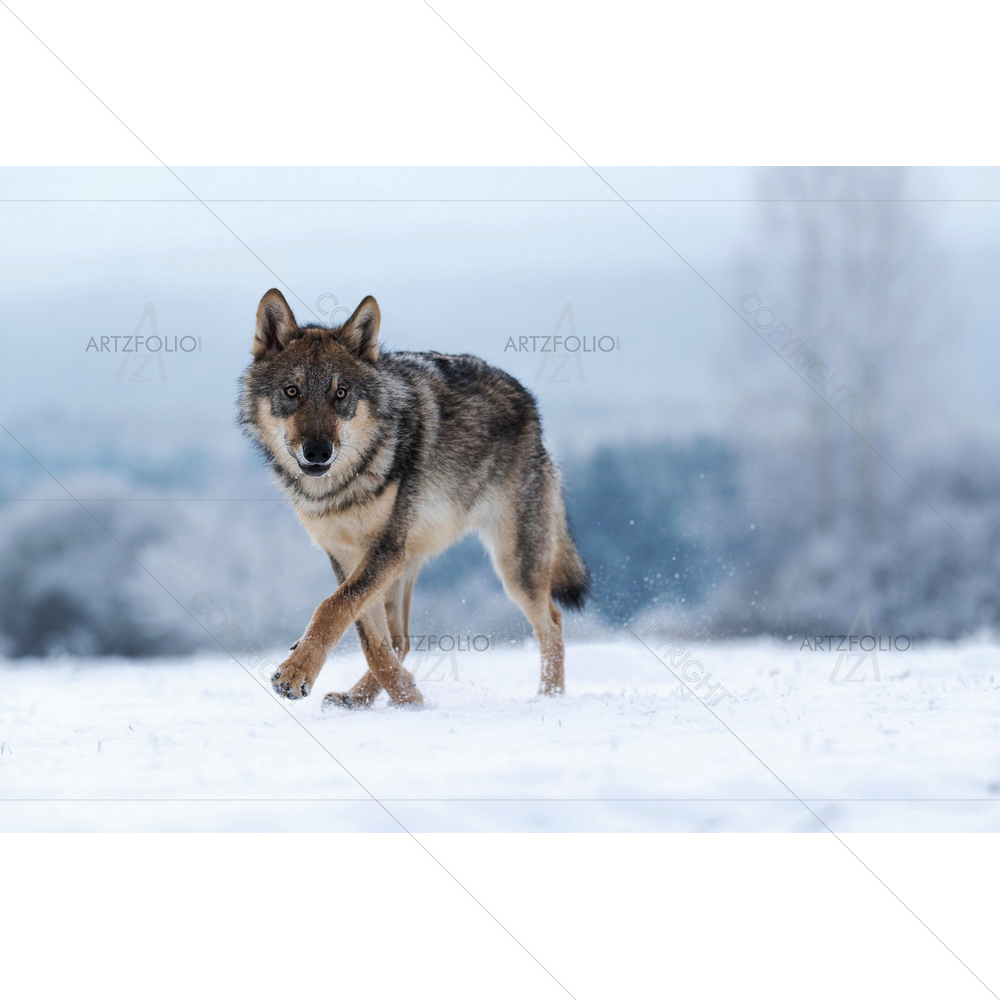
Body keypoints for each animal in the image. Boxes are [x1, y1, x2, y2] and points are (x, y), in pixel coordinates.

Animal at [238, 289, 589, 708]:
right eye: (292, 392)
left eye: (341, 394)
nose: (318, 452)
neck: (342, 487)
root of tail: (528, 401)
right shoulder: (346, 555)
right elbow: (368, 637)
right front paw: (406, 697)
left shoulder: (384, 551)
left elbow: (333, 608)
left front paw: (295, 673)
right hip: (410, 562)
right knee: (400, 640)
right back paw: (360, 698)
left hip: (513, 564)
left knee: (552, 622)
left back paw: (549, 698)